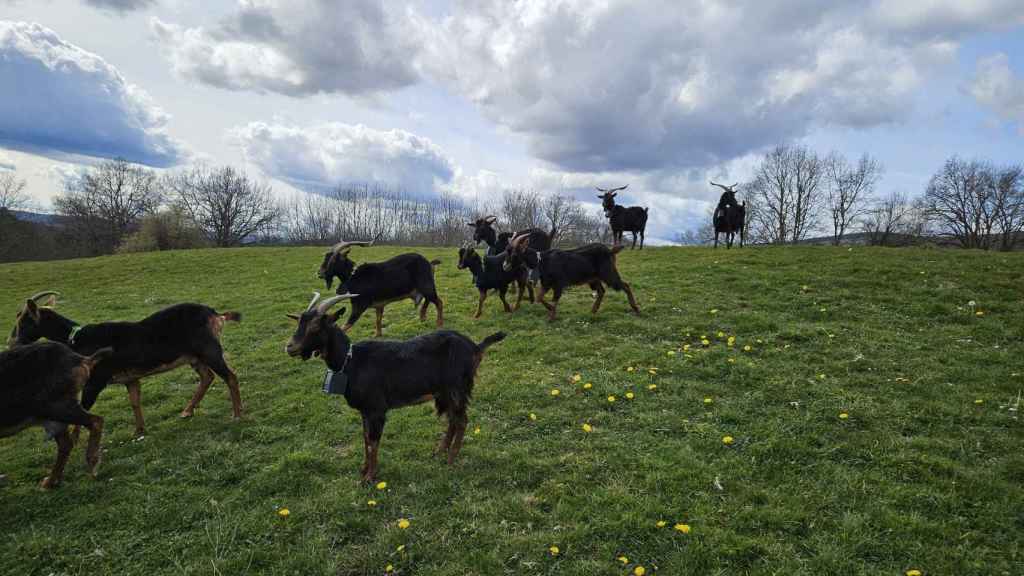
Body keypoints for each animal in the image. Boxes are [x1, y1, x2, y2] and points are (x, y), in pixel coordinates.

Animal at [0, 342, 112, 485]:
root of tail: (82, 360)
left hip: (56, 407)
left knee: (96, 420)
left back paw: (92, 464)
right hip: (53, 416)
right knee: (66, 444)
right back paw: (49, 482)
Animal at [9, 291, 243, 434]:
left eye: (24, 320)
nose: (11, 343)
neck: (76, 338)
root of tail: (215, 314)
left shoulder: (96, 381)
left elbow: (84, 411)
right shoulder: (130, 378)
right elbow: (134, 401)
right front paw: (139, 431)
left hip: (209, 350)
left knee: (230, 376)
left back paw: (237, 414)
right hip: (194, 356)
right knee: (207, 376)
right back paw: (187, 411)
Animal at [284, 291, 507, 479]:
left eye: (315, 327)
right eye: (298, 323)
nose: (290, 347)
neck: (351, 361)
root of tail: (476, 347)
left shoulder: (376, 409)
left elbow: (373, 441)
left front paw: (370, 477)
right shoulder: (365, 411)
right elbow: (365, 439)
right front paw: (364, 469)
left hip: (457, 388)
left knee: (461, 421)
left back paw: (451, 461)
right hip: (444, 393)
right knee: (452, 419)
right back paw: (439, 451)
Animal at [315, 238, 444, 336]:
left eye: (333, 260)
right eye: (326, 257)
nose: (320, 273)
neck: (353, 275)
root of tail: (429, 263)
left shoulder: (359, 306)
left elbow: (346, 325)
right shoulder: (379, 305)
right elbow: (378, 319)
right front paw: (377, 335)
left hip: (427, 287)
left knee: (439, 302)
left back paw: (439, 324)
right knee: (429, 300)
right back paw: (422, 318)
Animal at [499, 235, 634, 319]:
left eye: (514, 254)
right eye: (507, 250)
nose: (505, 266)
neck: (541, 260)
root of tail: (610, 251)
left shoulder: (559, 283)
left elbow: (555, 299)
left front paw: (551, 317)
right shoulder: (547, 283)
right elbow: (539, 297)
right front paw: (549, 309)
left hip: (608, 274)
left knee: (625, 285)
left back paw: (635, 309)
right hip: (593, 278)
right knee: (601, 291)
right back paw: (593, 311)